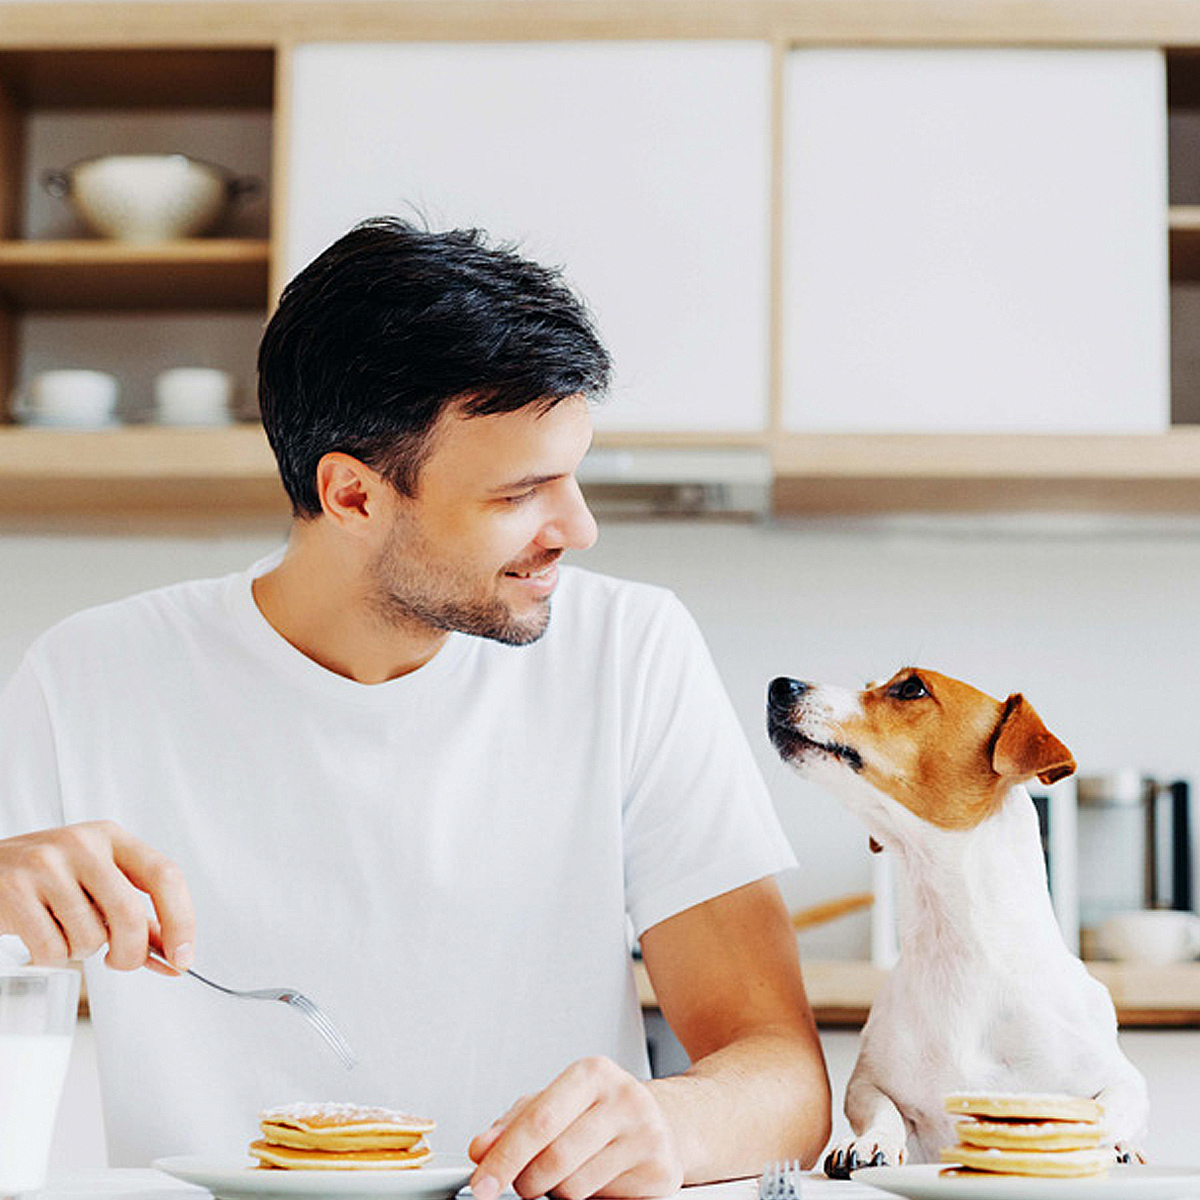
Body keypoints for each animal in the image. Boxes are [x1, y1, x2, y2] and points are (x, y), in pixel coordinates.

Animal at [763, 672, 1147, 1176]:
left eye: (910, 688)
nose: (779, 684)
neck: (954, 943)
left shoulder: (1123, 1078)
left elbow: (1109, 1108)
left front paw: (1116, 1147)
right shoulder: (868, 1083)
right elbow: (881, 1109)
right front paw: (869, 1142)